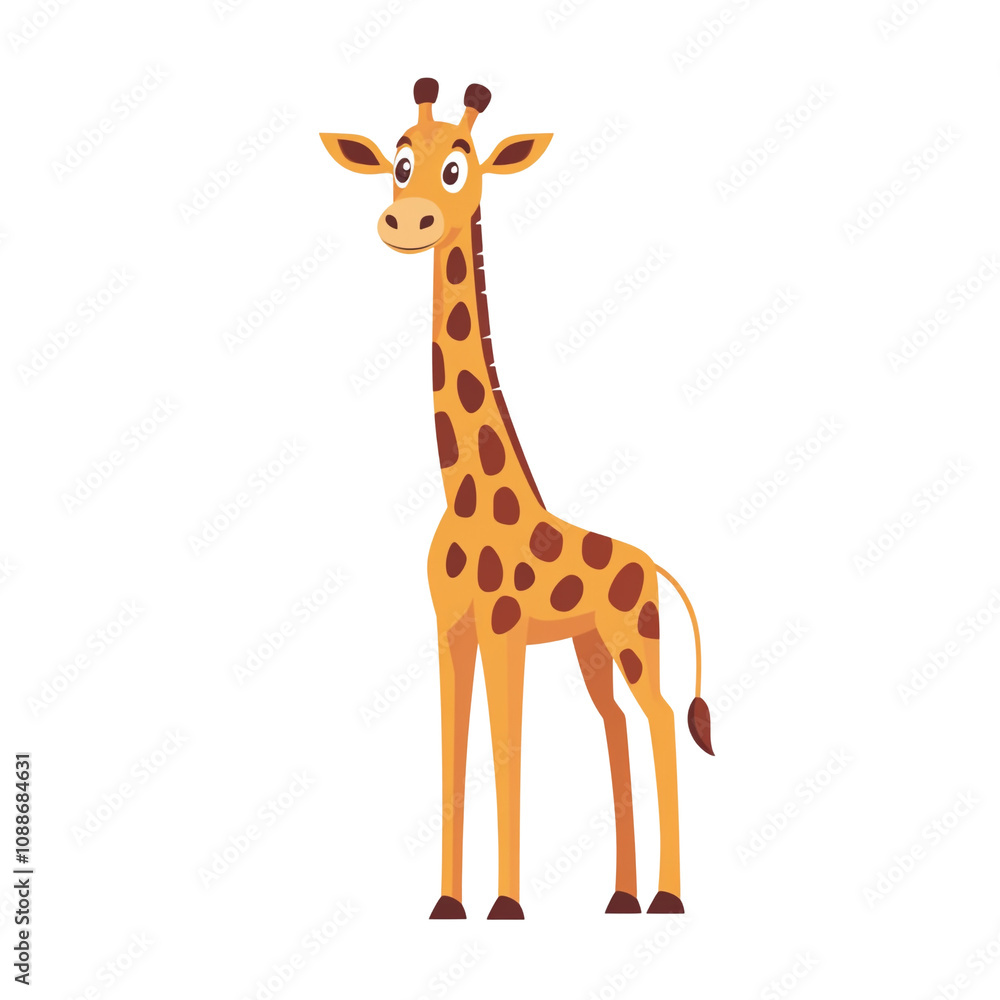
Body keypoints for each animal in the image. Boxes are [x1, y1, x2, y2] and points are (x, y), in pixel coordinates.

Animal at [321, 79, 713, 920]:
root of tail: (654, 568)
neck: (465, 493)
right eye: (399, 162)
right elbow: (454, 748)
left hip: (634, 639)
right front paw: (447, 904)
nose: (407, 222)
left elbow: (507, 748)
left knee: (662, 719)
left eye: (459, 166)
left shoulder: (504, 627)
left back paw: (665, 896)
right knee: (616, 724)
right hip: (592, 647)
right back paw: (621, 896)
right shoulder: (451, 629)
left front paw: (505, 905)